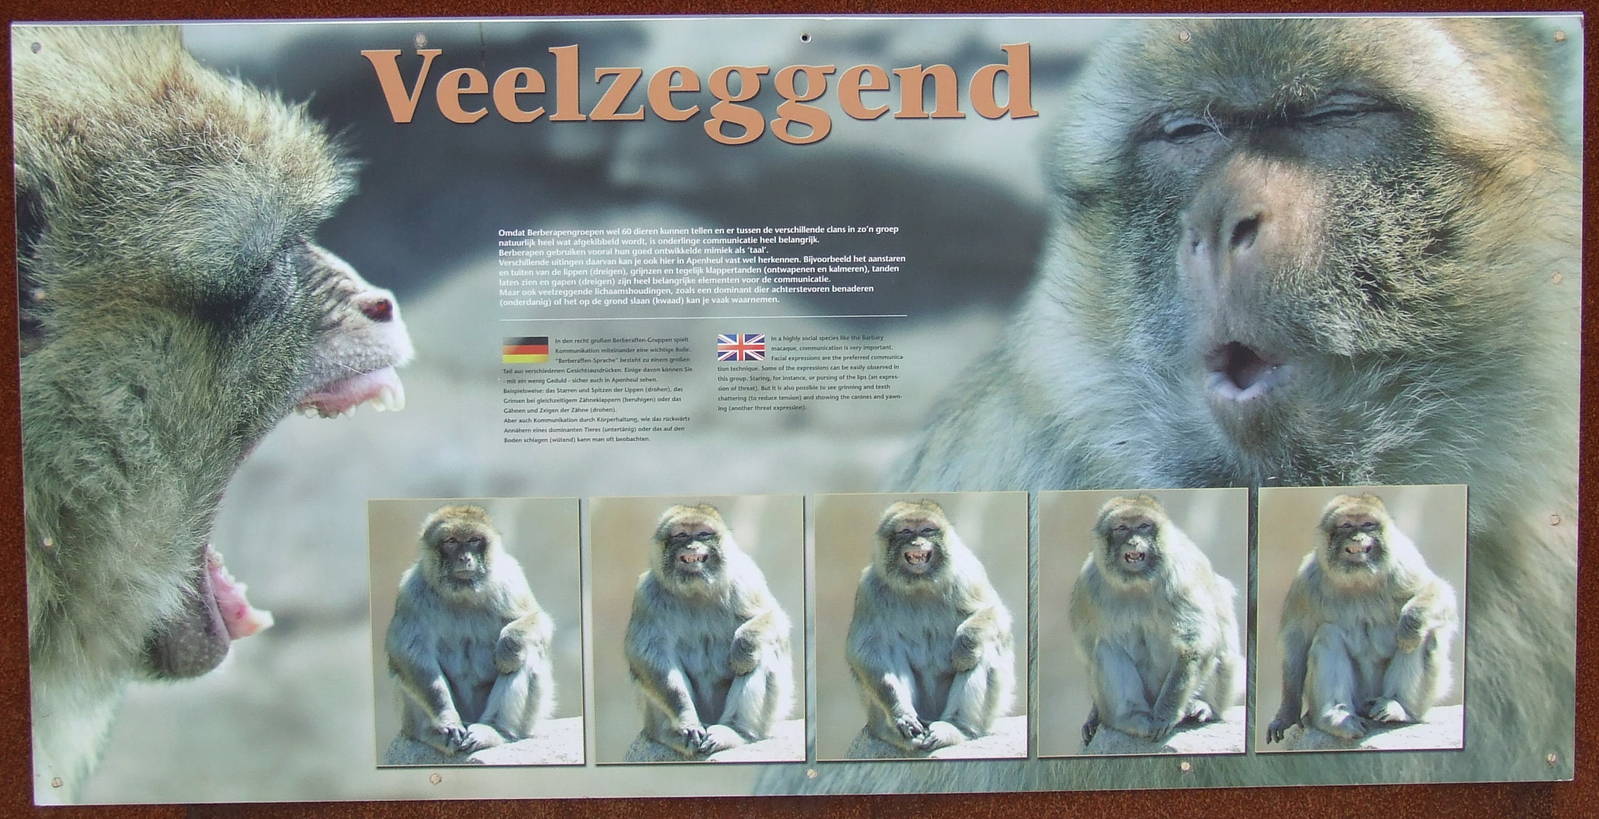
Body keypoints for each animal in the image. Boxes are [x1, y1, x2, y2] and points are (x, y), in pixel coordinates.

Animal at [386, 506, 555, 757]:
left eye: (474, 540)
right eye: (451, 541)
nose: (465, 558)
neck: (463, 593)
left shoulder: (510, 579)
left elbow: (538, 620)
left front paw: (507, 648)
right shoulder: (411, 591)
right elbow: (407, 653)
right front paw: (447, 719)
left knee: (528, 655)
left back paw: (495, 729)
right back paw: (433, 733)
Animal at [623, 504, 793, 759]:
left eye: (703, 534)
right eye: (681, 535)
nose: (692, 546)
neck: (697, 590)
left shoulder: (746, 577)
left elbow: (774, 617)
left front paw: (742, 651)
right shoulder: (647, 594)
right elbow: (648, 655)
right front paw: (687, 720)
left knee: (766, 652)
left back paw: (734, 730)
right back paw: (672, 734)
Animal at [845, 500, 1015, 754]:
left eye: (926, 529)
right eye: (905, 531)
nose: (916, 542)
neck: (920, 583)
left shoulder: (968, 572)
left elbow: (996, 614)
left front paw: (963, 649)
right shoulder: (869, 590)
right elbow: (867, 652)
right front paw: (901, 714)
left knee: (988, 647)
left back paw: (956, 727)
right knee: (889, 654)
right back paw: (898, 732)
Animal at [1069, 496, 1242, 748]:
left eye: (1143, 526)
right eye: (1121, 528)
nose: (1133, 542)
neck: (1137, 581)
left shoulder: (1180, 577)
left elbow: (1195, 643)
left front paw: (1164, 716)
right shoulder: (1088, 583)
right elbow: (1089, 649)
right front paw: (1095, 714)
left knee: (1220, 649)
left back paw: (1203, 706)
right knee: (1105, 648)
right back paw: (1131, 718)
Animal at [1265, 494, 1457, 745]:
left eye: (1367, 524)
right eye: (1346, 525)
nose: (1357, 537)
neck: (1359, 578)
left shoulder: (1404, 563)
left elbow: (1440, 593)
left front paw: (1409, 625)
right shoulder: (1306, 581)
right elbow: (1295, 644)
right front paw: (1287, 714)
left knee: (1426, 634)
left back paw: (1398, 705)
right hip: (1355, 698)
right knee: (1328, 634)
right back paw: (1335, 717)